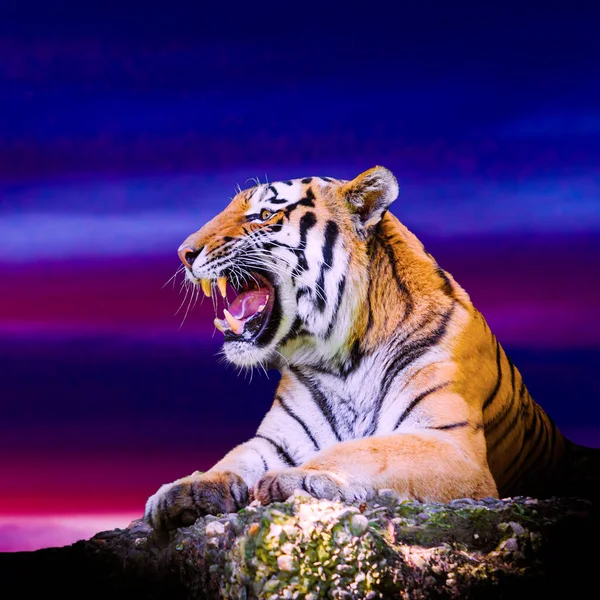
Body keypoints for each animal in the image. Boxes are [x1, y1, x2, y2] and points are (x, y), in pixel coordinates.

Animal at [144, 164, 592, 528]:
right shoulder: (275, 440)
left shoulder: (449, 444)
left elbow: (367, 450)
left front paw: (298, 478)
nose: (184, 253)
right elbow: (235, 457)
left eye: (266, 215)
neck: (341, 360)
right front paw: (187, 487)